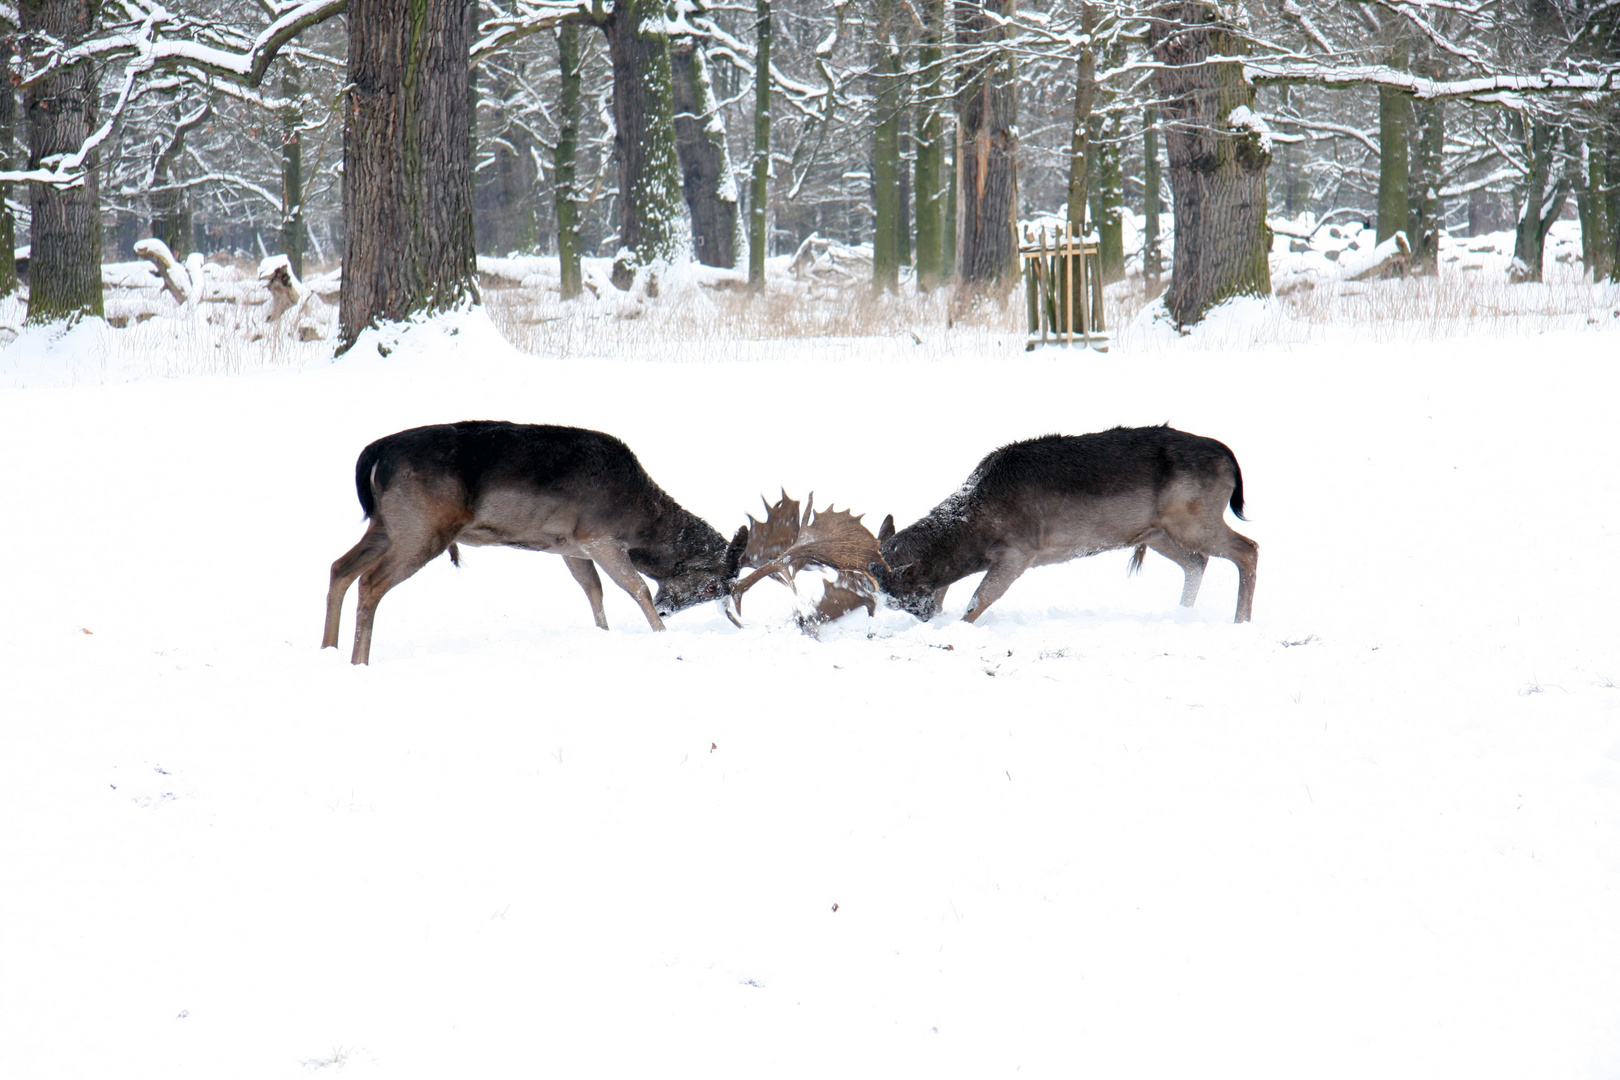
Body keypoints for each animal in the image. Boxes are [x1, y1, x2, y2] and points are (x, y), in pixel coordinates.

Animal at [324, 420, 751, 660]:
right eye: (711, 586)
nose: (667, 611)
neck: (639, 520)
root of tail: (374, 455)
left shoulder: (570, 546)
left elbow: (593, 591)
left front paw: (604, 634)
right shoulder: (599, 535)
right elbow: (637, 588)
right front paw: (663, 638)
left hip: (387, 524)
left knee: (339, 567)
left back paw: (329, 649)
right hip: (423, 526)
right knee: (370, 581)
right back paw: (359, 660)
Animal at [868, 424, 1257, 625]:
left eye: (903, 598)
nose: (924, 618)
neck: (975, 528)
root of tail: (1231, 460)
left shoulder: (1019, 550)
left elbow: (978, 600)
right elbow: (954, 591)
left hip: (1194, 517)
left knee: (1247, 548)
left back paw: (1240, 621)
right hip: (1158, 531)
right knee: (1196, 561)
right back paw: (1182, 614)